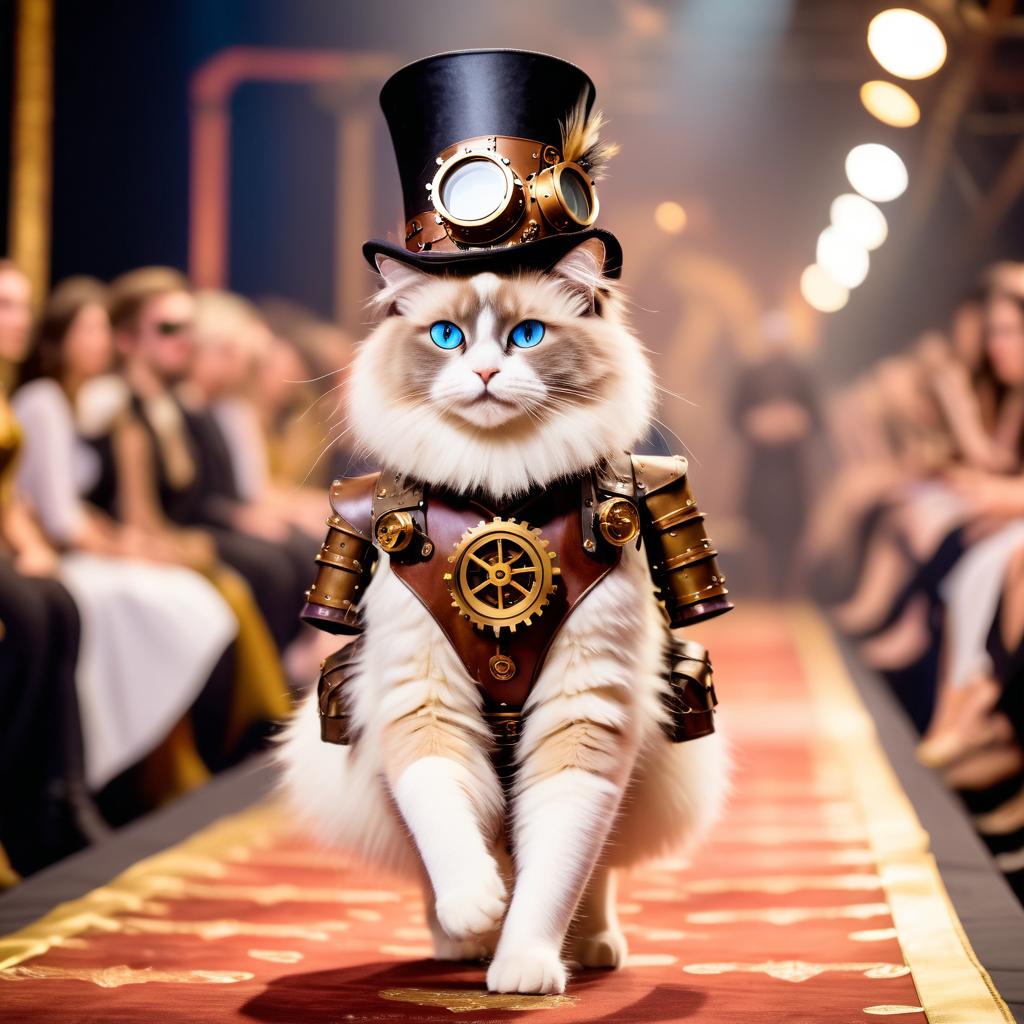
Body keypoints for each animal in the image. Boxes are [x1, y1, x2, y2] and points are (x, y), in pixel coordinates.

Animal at [276, 237, 733, 991]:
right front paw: (476, 908)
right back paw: (459, 943)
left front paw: (524, 967)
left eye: (527, 336)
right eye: (446, 336)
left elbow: (557, 863)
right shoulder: (421, 699)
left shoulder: (586, 712)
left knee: (596, 878)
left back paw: (591, 947)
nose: (486, 370)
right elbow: (444, 814)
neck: (497, 493)